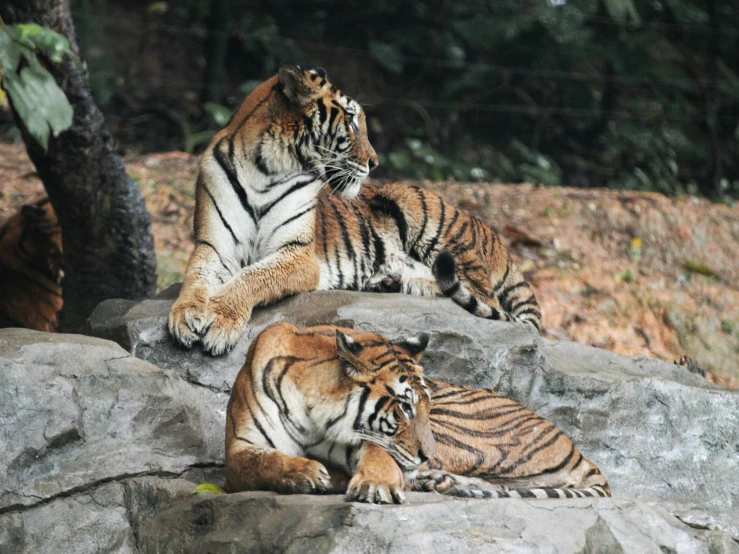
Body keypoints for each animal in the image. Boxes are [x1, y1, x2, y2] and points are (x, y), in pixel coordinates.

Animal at [171, 61, 540, 354]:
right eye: (349, 120)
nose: (374, 162)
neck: (266, 168)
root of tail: (491, 233)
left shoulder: (298, 253)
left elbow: (252, 277)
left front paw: (220, 322)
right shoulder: (214, 245)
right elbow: (196, 276)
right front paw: (185, 316)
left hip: (433, 223)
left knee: (480, 295)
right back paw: (388, 281)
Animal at [227, 322, 612, 502]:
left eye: (425, 404)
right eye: (405, 406)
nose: (428, 455)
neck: (314, 414)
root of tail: (580, 453)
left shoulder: (369, 441)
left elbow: (381, 459)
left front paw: (376, 485)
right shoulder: (239, 447)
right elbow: (262, 462)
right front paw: (305, 472)